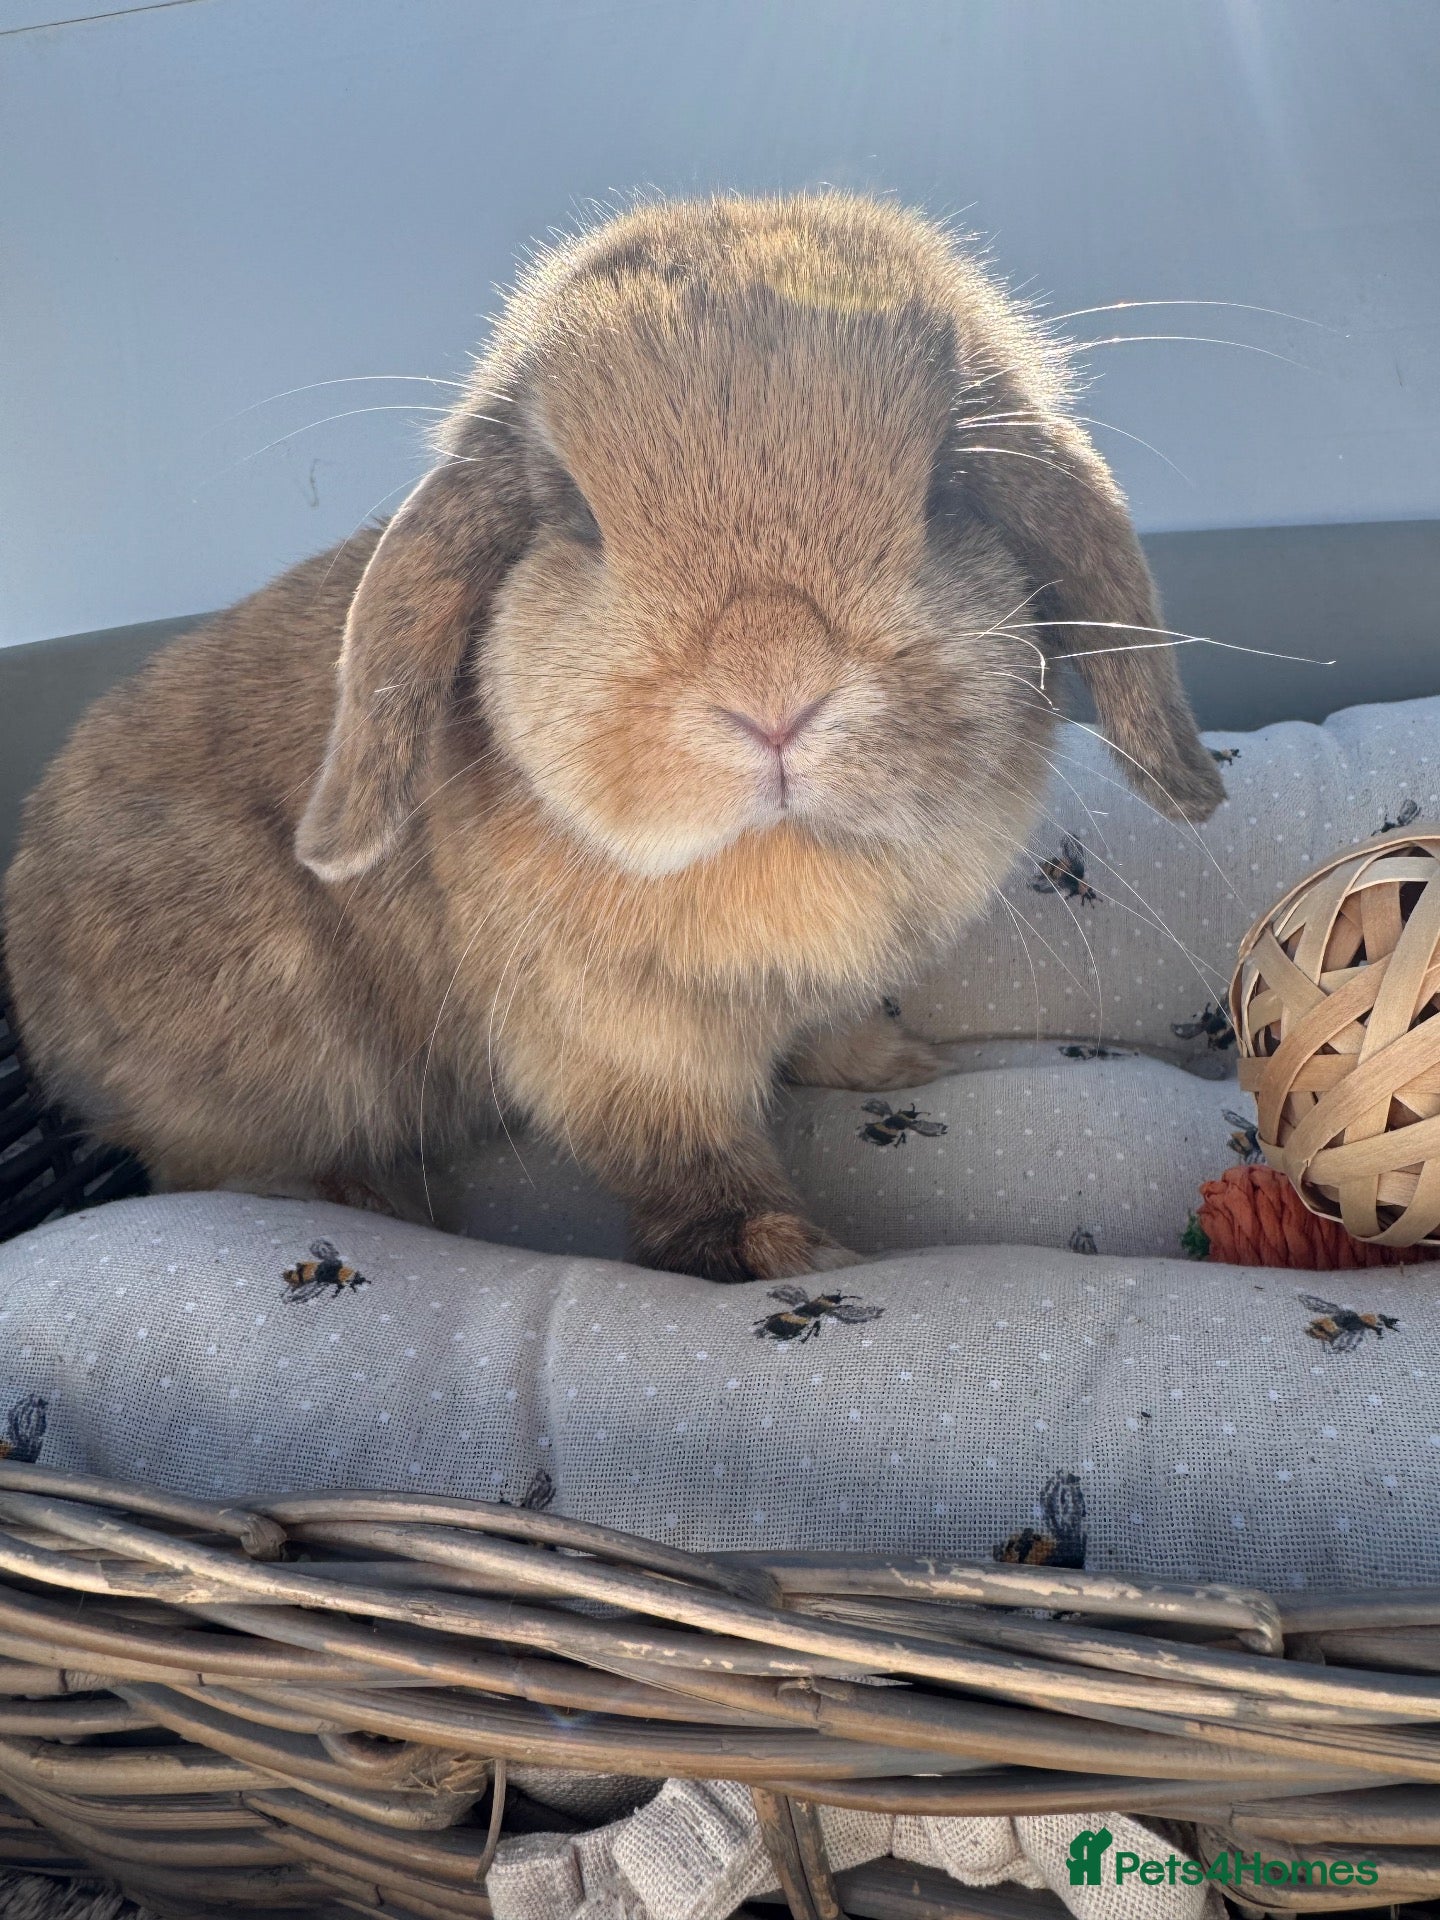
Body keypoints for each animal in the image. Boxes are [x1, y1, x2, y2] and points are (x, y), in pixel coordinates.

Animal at [4, 194, 1223, 1283]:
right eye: (575, 514)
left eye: (948, 489)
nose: (774, 691)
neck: (774, 858)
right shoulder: (619, 1049)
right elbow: (684, 1160)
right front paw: (784, 1253)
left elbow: (825, 1033)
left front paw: (893, 1061)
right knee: (213, 1165)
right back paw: (371, 1199)